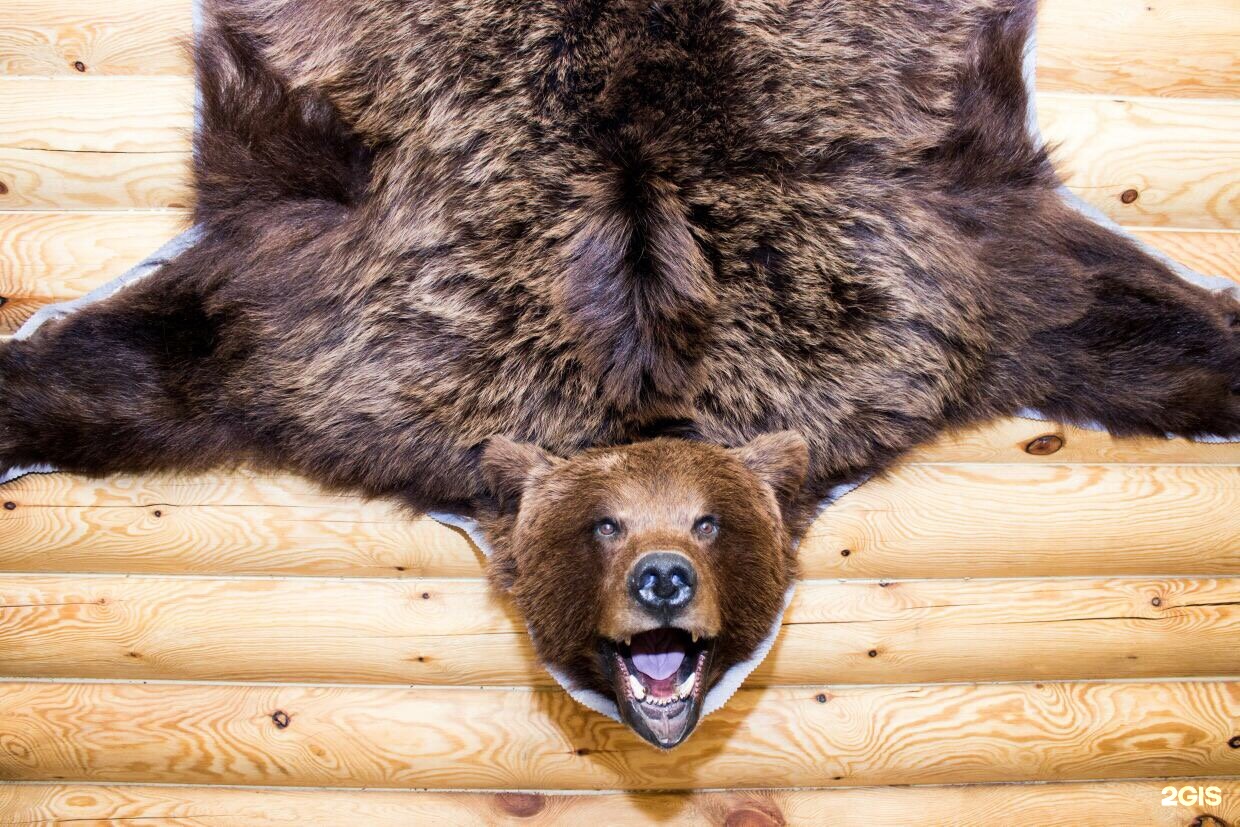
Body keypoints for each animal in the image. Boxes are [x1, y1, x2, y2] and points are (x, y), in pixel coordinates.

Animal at [0, 0, 1236, 748]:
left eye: (713, 525)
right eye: (596, 529)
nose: (663, 585)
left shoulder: (946, 293)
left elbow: (1126, 328)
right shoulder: (314, 336)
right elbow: (129, 372)